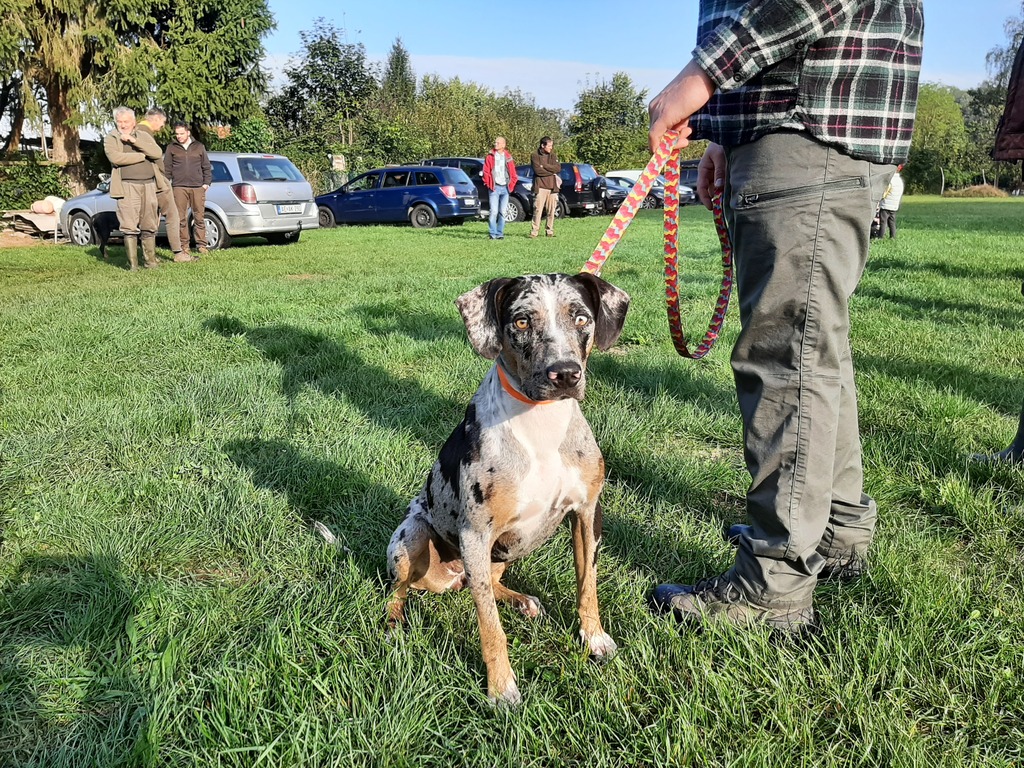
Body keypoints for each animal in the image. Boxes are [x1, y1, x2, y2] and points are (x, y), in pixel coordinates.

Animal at [387, 274, 630, 708]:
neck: (542, 424)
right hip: (411, 541)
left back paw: (521, 600)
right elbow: (490, 627)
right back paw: (395, 620)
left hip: (503, 552)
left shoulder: (587, 515)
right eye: (520, 321)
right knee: (397, 591)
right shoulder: (474, 535)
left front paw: (594, 638)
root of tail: (450, 579)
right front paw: (500, 688)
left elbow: (587, 585)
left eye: (581, 318)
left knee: (488, 583)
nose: (565, 374)